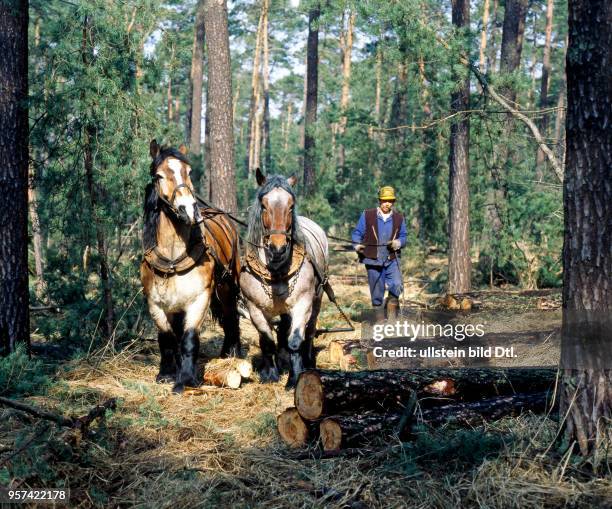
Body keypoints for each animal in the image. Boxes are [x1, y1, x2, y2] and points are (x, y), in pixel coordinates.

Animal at [142, 139, 240, 392]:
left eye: (189, 171)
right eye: (159, 175)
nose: (188, 209)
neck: (173, 259)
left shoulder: (199, 299)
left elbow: (188, 338)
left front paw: (185, 379)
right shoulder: (155, 304)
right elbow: (167, 338)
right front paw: (167, 373)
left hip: (226, 288)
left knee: (231, 318)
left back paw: (231, 354)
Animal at [238, 169, 328, 386]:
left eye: (291, 205)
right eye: (264, 205)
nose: (278, 248)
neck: (276, 271)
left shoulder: (302, 303)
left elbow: (295, 341)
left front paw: (294, 378)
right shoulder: (254, 308)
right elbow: (268, 341)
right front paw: (270, 374)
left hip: (318, 297)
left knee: (309, 332)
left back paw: (307, 360)